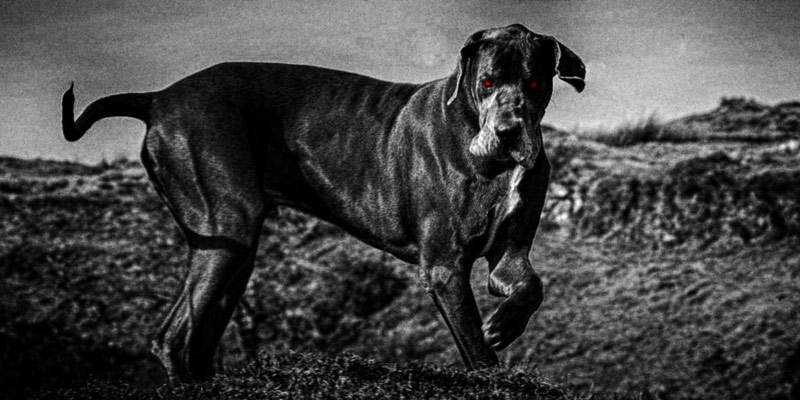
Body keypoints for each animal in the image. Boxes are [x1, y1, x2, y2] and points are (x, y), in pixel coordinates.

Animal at [62, 23, 584, 380]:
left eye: (534, 83)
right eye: (488, 82)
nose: (509, 133)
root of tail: (158, 97)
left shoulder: (508, 255)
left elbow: (529, 286)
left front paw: (504, 326)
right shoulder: (444, 265)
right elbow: (476, 350)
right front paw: (491, 345)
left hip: (235, 251)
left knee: (197, 338)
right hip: (226, 225)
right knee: (173, 338)